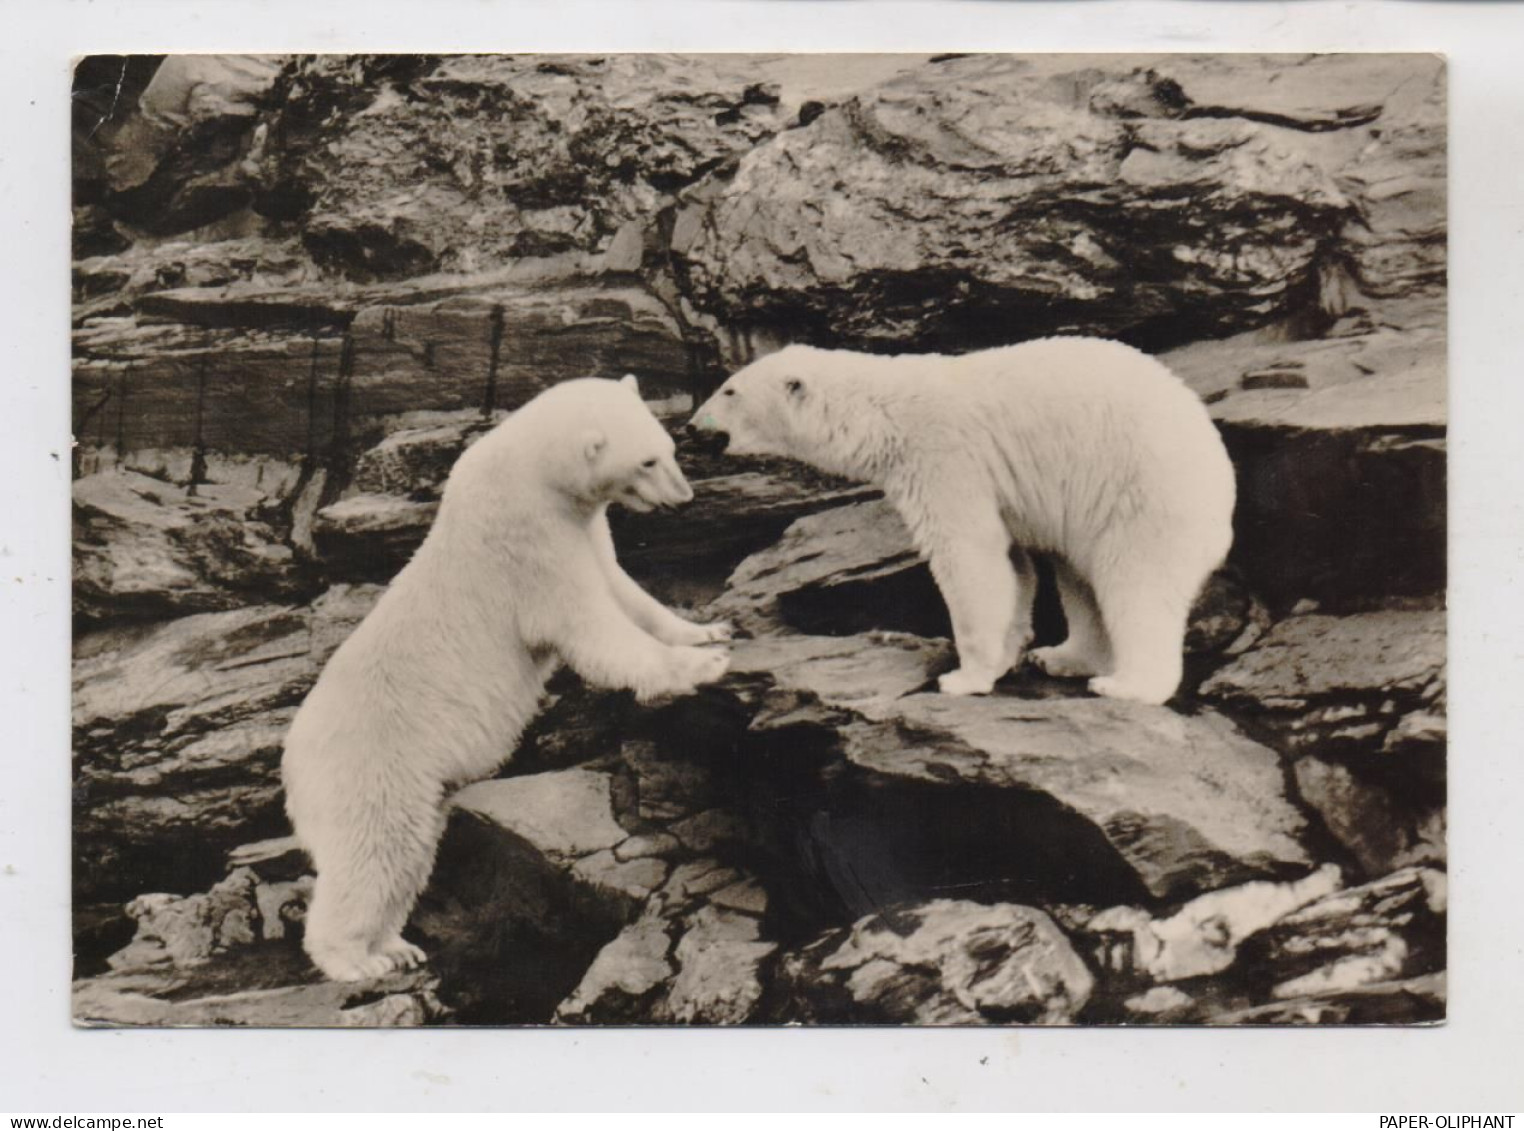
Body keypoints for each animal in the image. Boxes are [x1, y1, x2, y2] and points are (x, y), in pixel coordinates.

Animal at [286, 374, 737, 981]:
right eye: (647, 460)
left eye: (667, 447)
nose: (684, 495)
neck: (530, 476)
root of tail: (291, 765)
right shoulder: (529, 544)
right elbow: (589, 623)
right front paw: (700, 668)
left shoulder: (581, 529)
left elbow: (624, 590)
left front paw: (707, 630)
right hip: (372, 768)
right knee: (375, 851)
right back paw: (356, 961)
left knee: (410, 854)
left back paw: (398, 947)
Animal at [691, 338, 1237, 707]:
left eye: (729, 390)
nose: (694, 426)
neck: (880, 412)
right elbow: (1013, 565)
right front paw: (1008, 654)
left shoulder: (943, 455)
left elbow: (968, 555)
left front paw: (962, 678)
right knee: (1077, 576)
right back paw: (1063, 656)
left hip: (1144, 493)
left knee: (1135, 584)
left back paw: (1126, 685)